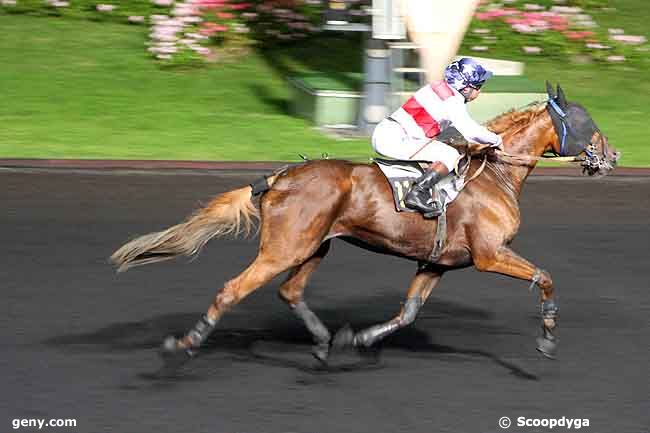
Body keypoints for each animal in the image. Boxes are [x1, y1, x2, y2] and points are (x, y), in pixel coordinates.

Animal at [111, 82, 616, 362]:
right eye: (585, 121)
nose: (612, 156)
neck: (494, 175)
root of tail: (280, 177)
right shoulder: (490, 255)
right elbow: (545, 277)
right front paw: (547, 339)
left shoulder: (436, 262)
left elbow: (408, 312)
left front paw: (360, 337)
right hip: (284, 249)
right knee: (233, 289)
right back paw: (186, 343)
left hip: (315, 246)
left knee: (290, 291)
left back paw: (322, 341)